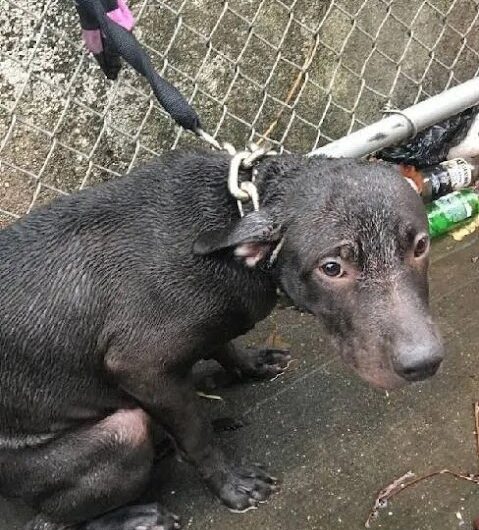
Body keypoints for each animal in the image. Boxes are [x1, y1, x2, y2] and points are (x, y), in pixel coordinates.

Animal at [0, 150, 442, 528]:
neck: (238, 215)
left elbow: (222, 344)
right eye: (331, 268)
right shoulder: (141, 367)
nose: (424, 363)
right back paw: (136, 517)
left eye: (421, 245)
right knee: (50, 521)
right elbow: (198, 435)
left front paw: (251, 365)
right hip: (120, 434)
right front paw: (232, 485)